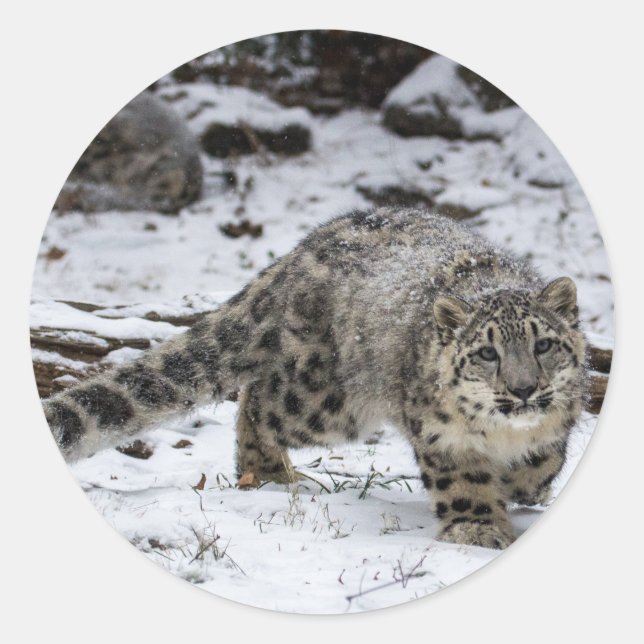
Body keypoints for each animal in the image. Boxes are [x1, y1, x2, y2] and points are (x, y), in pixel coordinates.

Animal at [42, 207, 587, 549]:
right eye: (487, 352)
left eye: (542, 344)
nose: (523, 388)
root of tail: (301, 250)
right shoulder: (440, 434)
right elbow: (463, 481)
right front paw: (476, 529)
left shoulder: (558, 420)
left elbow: (546, 458)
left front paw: (526, 486)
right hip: (328, 402)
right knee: (258, 402)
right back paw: (269, 473)